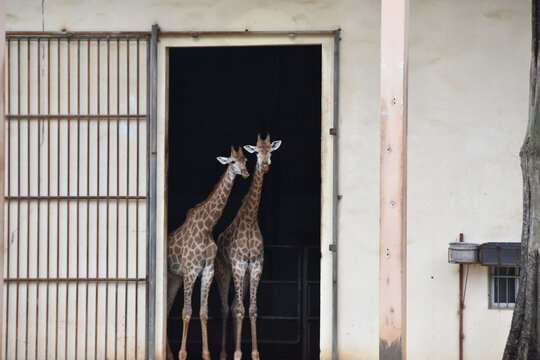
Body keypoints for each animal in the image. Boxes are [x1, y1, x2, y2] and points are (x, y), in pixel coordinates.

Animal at [167, 146, 249, 360]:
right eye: (232, 162)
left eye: (245, 160)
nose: (245, 173)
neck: (206, 227)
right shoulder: (190, 270)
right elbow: (187, 311)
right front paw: (182, 355)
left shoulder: (208, 270)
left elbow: (203, 312)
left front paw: (206, 354)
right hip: (176, 275)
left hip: (175, 277)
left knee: (167, 308)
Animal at [215, 134, 282, 360]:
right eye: (256, 152)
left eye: (271, 151)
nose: (266, 165)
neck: (251, 221)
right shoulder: (237, 264)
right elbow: (239, 311)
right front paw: (237, 354)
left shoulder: (255, 266)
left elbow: (251, 309)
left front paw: (254, 354)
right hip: (224, 271)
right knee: (226, 308)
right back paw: (224, 353)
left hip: (243, 275)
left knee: (235, 305)